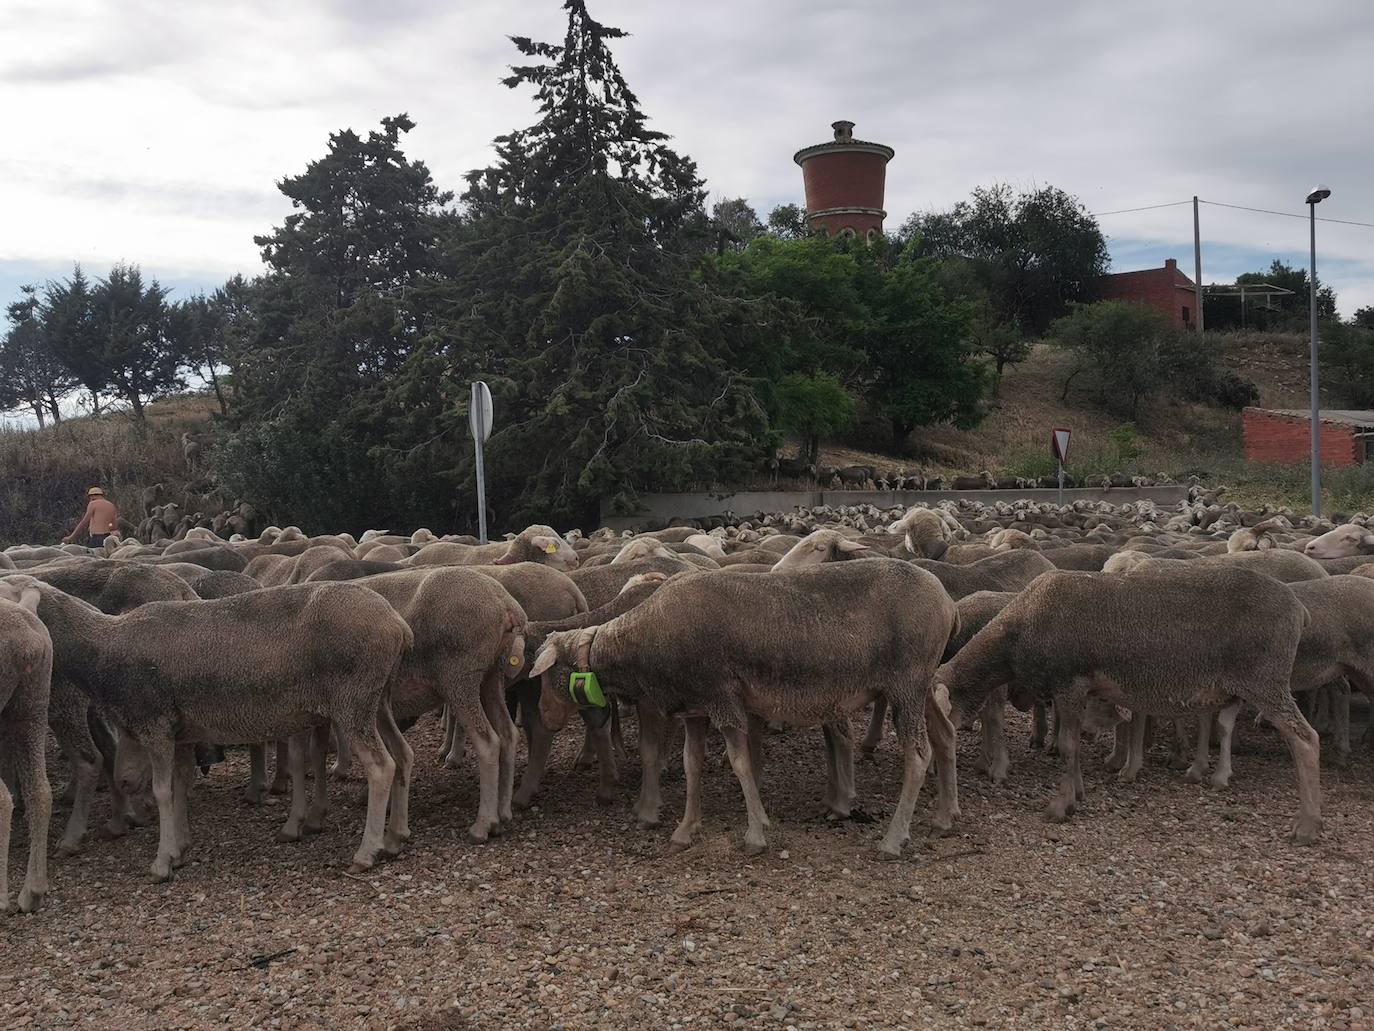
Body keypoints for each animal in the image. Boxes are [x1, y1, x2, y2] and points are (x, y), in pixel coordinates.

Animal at [2, 574, 414, 879]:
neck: (103, 646)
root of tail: (397, 623)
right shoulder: (181, 731)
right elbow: (180, 786)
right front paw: (180, 848)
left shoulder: (155, 725)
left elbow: (162, 791)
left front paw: (162, 862)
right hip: (378, 700)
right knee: (403, 755)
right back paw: (395, 837)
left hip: (353, 701)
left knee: (382, 767)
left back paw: (367, 852)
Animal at [530, 560, 961, 857]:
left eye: (547, 674)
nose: (545, 719)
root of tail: (948, 604)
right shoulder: (696, 707)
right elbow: (691, 764)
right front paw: (685, 830)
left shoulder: (722, 698)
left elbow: (741, 764)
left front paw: (755, 835)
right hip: (921, 685)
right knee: (945, 735)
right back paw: (944, 817)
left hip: (906, 684)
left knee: (918, 755)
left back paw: (893, 839)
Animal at [934, 569, 1319, 841]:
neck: (1017, 631)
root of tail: (1299, 610)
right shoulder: (1083, 689)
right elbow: (1076, 746)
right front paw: (1078, 792)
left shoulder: (1070, 682)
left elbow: (1068, 745)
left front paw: (1060, 805)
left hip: (1265, 679)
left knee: (1305, 739)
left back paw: (1307, 825)